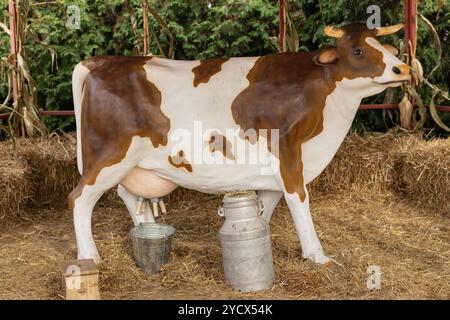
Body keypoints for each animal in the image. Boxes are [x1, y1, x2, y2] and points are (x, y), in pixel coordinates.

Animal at [68, 23, 410, 270]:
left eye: (385, 48)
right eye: (358, 50)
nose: (403, 69)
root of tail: (103, 61)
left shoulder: (272, 168)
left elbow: (266, 205)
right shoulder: (287, 153)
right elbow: (299, 201)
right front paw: (317, 255)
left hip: (131, 163)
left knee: (125, 194)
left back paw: (148, 228)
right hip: (109, 156)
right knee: (79, 199)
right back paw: (89, 257)